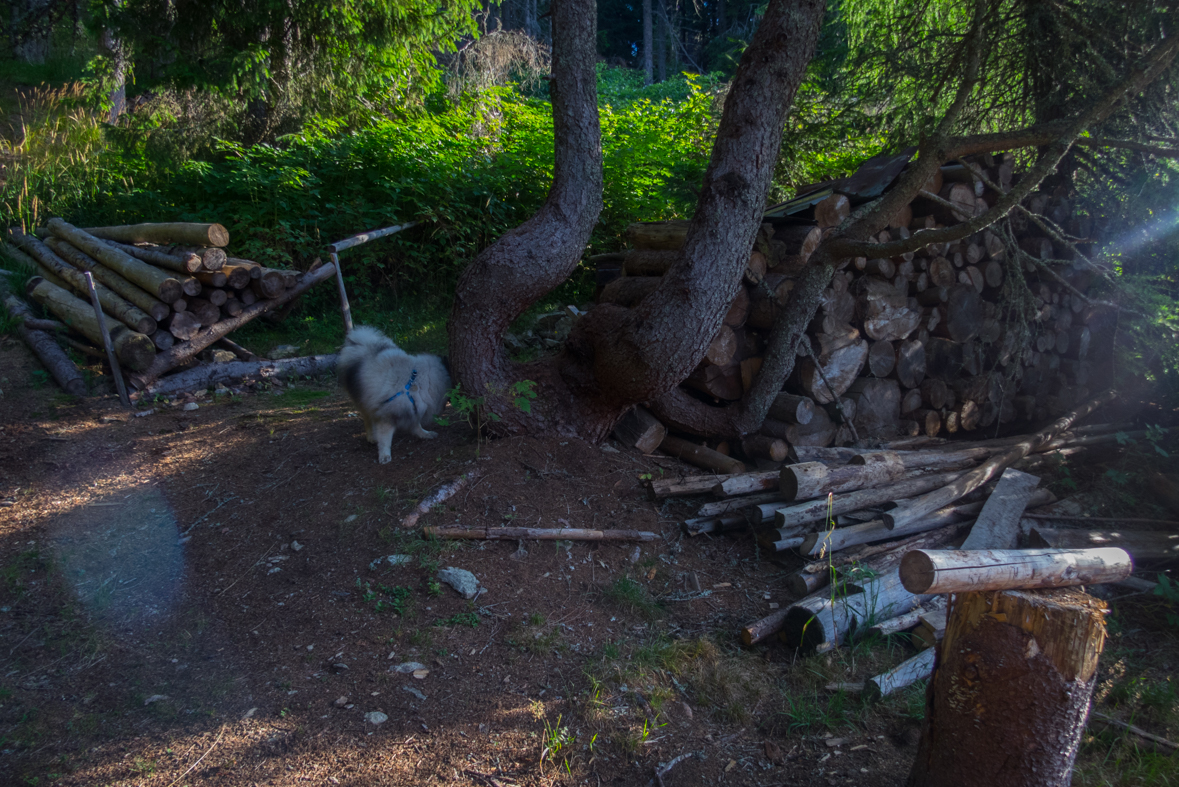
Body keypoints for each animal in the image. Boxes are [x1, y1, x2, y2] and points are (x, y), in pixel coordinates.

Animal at [341, 325, 455, 464]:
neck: (415, 383)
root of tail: (363, 345)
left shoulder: (413, 408)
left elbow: (416, 425)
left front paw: (425, 434)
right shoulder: (387, 415)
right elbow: (385, 439)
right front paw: (384, 455)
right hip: (364, 400)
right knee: (368, 419)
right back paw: (371, 437)